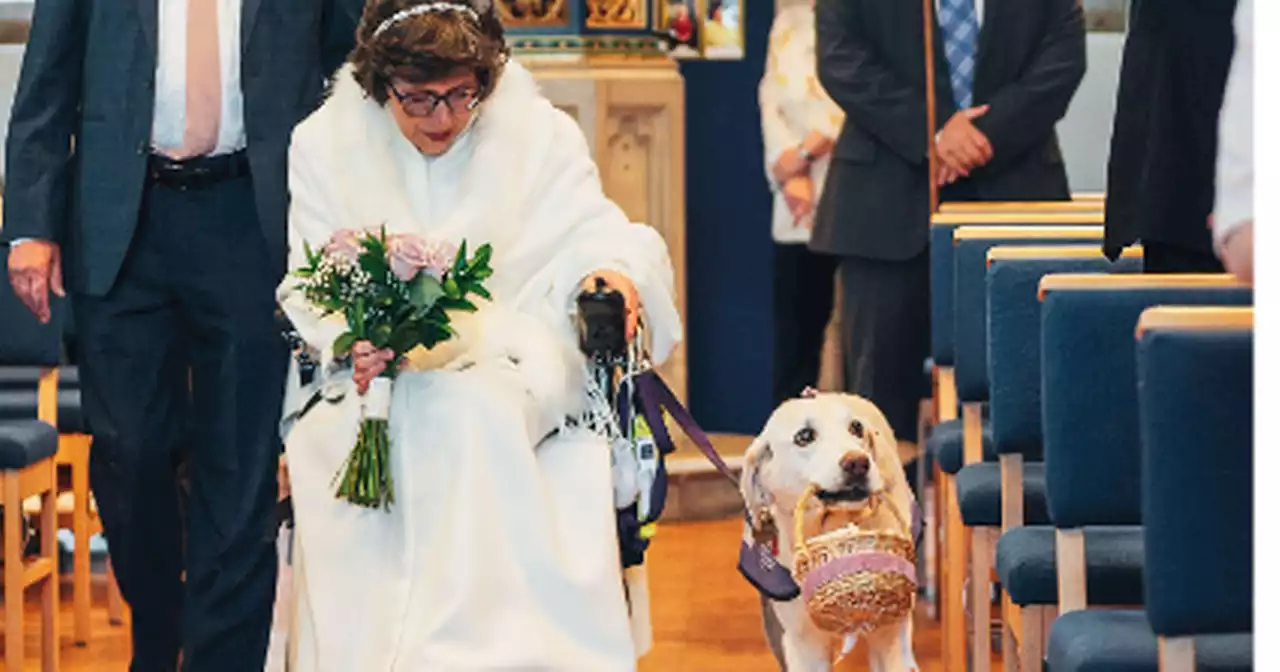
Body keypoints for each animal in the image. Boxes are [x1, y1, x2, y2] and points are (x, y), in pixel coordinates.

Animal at [742, 389, 921, 670]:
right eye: (804, 436)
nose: (858, 463)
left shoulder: (890, 636)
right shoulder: (804, 647)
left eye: (856, 428)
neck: (832, 525)